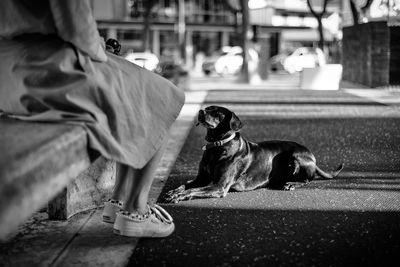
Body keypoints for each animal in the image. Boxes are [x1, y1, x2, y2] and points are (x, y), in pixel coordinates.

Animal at [166, 105, 344, 204]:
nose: (201, 111)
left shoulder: (219, 186)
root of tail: (311, 155)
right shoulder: (201, 179)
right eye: (208, 108)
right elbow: (186, 185)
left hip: (296, 156)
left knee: (307, 180)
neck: (217, 146)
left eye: (218, 114)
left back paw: (291, 184)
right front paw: (175, 192)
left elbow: (193, 190)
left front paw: (179, 196)